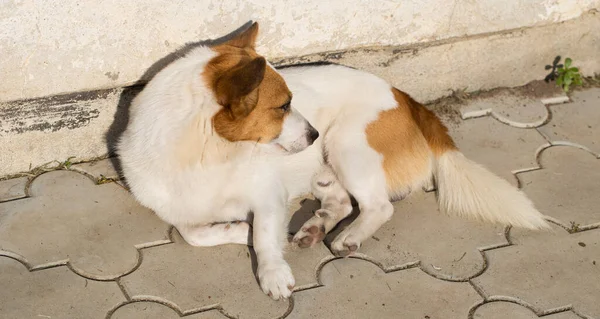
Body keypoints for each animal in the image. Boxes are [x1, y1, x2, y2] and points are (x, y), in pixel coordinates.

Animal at [116, 23, 548, 302]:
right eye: (283, 106)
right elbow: (194, 233)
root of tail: (402, 94)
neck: (211, 154)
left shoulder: (268, 195)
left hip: (347, 145)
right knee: (339, 202)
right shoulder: (179, 209)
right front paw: (240, 230)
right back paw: (313, 228)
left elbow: (264, 235)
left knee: (379, 206)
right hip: (326, 169)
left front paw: (271, 269)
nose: (313, 135)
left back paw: (348, 236)